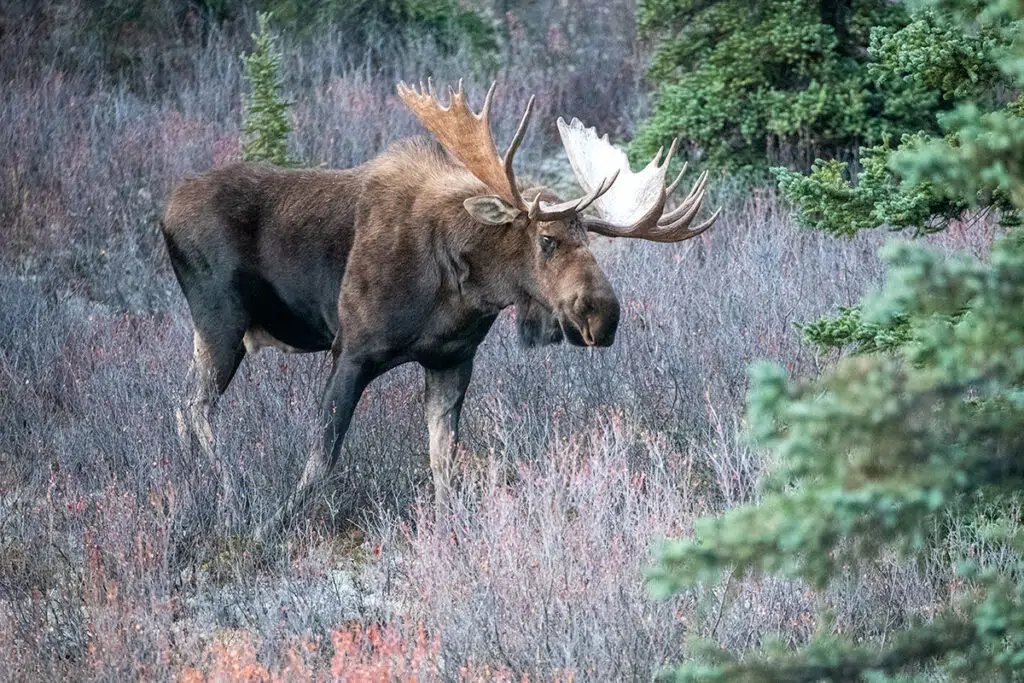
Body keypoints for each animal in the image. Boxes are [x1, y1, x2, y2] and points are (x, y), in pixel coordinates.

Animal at [161, 79, 720, 529]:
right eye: (547, 238)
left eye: (591, 239)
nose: (603, 316)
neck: (460, 290)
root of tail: (164, 213)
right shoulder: (351, 350)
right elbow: (322, 456)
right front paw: (270, 525)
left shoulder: (452, 360)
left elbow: (442, 461)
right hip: (220, 321)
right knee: (195, 407)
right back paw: (228, 493)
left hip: (212, 333)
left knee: (182, 406)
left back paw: (195, 485)